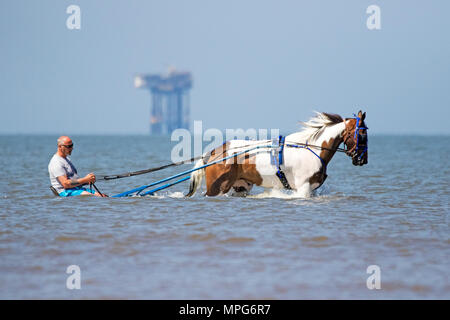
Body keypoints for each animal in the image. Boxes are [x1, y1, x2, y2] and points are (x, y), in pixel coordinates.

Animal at [185, 111, 368, 199]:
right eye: (362, 135)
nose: (362, 160)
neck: (312, 149)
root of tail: (213, 153)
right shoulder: (303, 187)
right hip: (217, 188)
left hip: (241, 187)